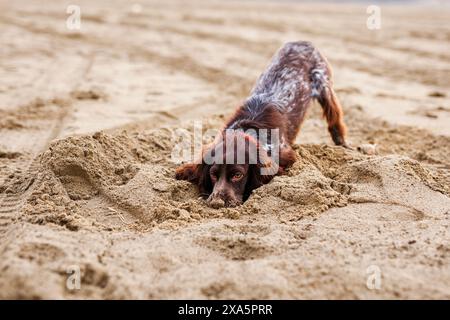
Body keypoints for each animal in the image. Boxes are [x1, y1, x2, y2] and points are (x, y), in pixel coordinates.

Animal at [176, 40, 348, 208]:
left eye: (237, 175)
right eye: (213, 174)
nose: (217, 203)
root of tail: (303, 42)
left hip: (324, 85)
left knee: (335, 118)